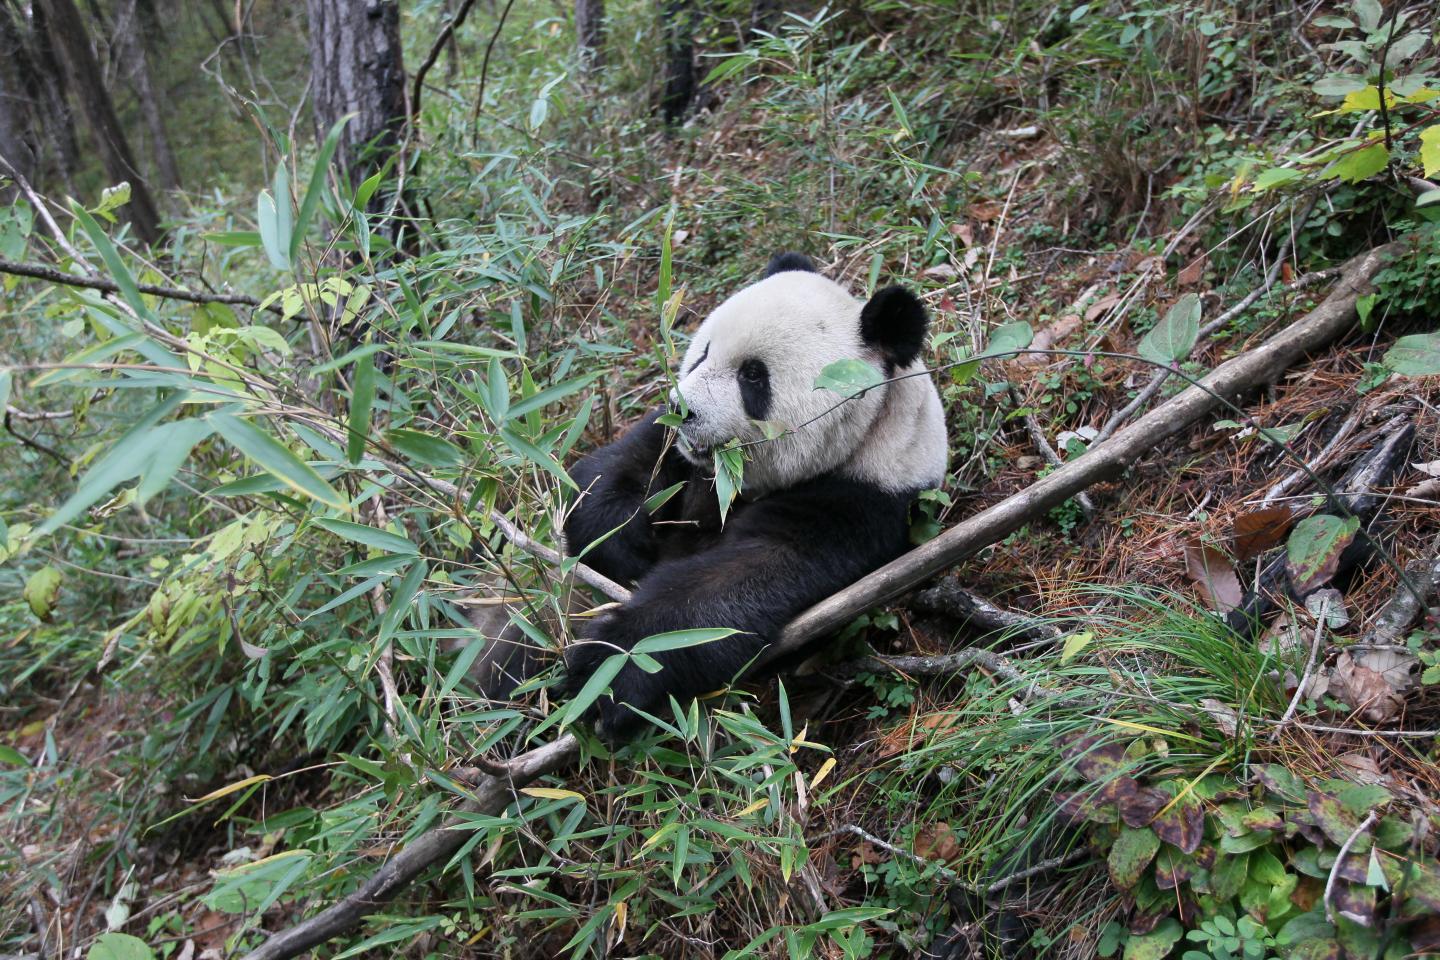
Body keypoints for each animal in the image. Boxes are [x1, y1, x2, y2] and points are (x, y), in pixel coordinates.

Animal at [472, 253, 944, 742]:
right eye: (703, 351)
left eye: (753, 375)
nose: (683, 409)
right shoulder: (679, 455)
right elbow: (616, 469)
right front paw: (618, 545)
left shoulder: (856, 502)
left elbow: (738, 582)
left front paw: (613, 667)